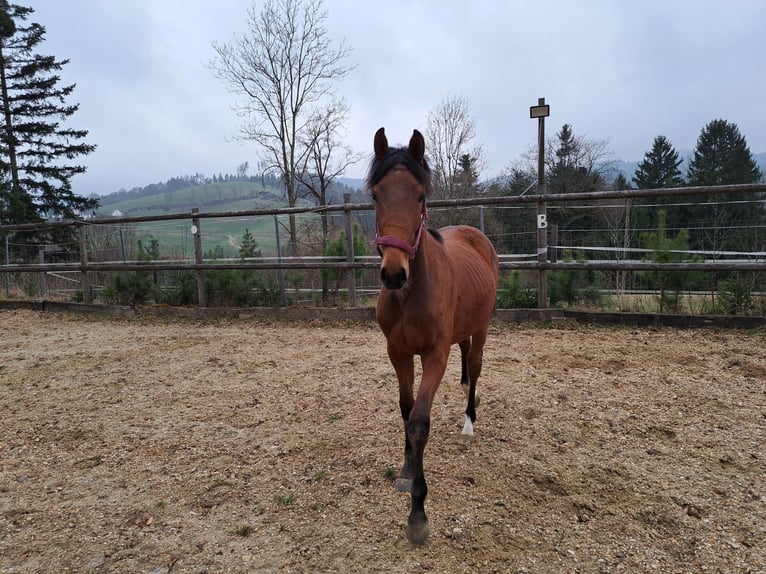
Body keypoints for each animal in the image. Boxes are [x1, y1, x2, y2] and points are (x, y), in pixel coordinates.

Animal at [369, 127, 499, 545]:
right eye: (375, 195)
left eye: (419, 196)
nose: (394, 274)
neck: (411, 293)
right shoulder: (397, 352)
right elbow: (405, 408)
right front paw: (407, 469)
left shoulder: (434, 356)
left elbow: (420, 421)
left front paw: (417, 513)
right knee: (466, 359)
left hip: (482, 327)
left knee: (476, 365)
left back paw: (469, 423)